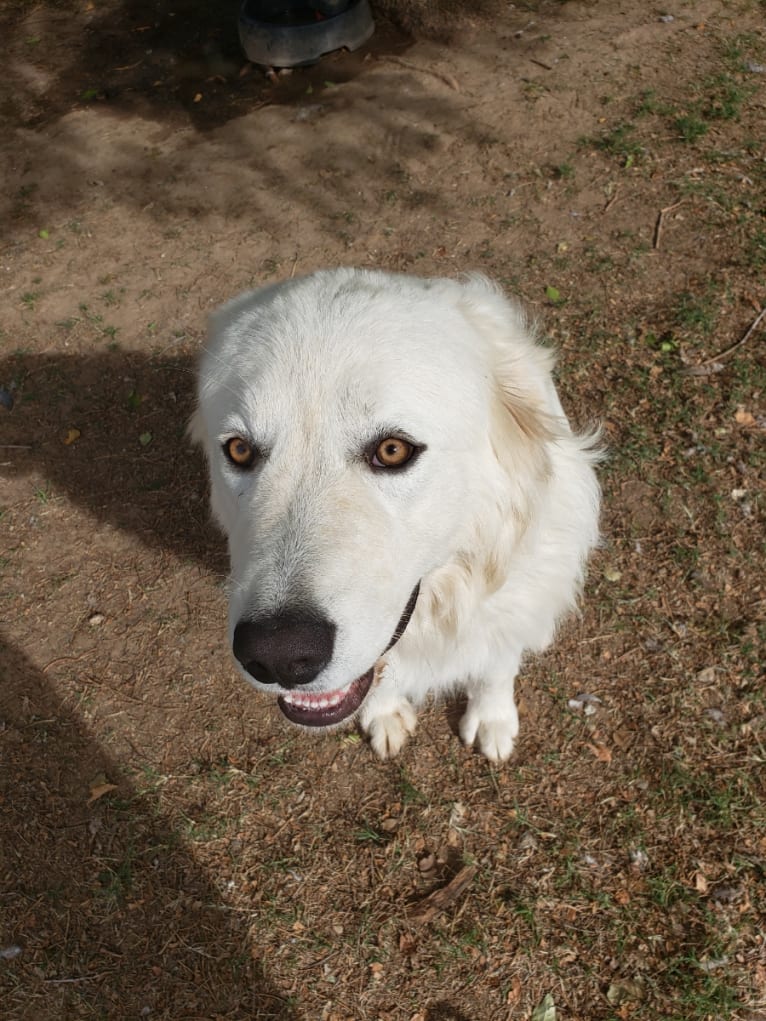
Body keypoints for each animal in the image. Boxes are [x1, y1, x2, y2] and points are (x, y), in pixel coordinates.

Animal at [190, 267, 600, 763]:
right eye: (239, 450)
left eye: (392, 450)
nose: (279, 654)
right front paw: (384, 714)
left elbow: (496, 664)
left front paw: (493, 718)